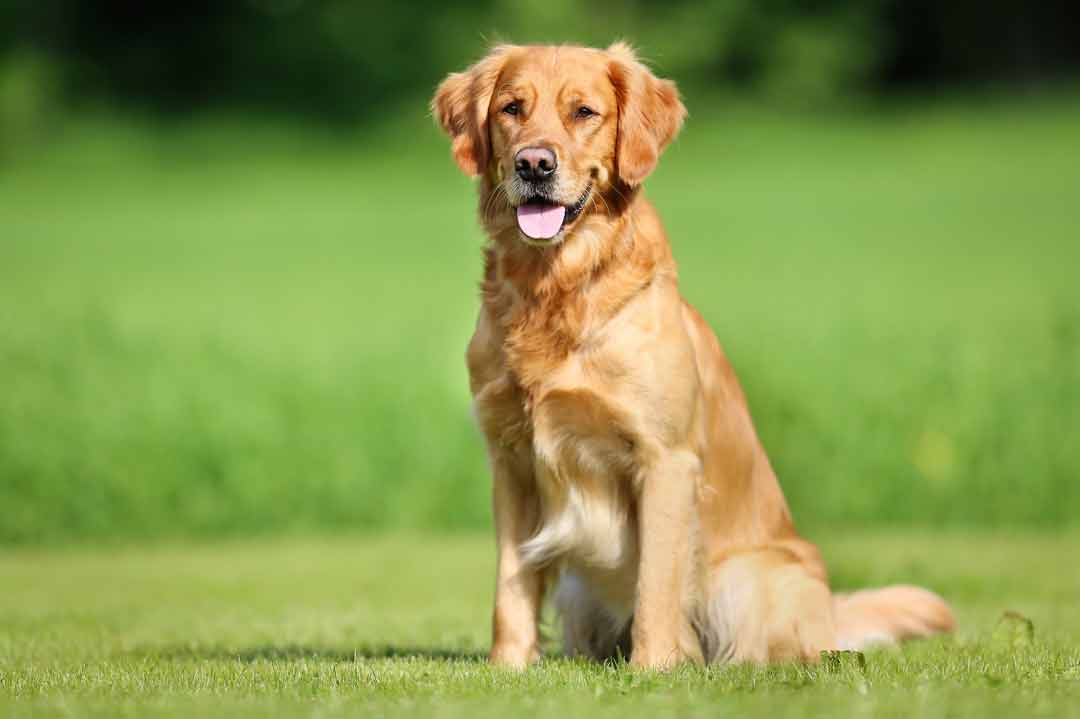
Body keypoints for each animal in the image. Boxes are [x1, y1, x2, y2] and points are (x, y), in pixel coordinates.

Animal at [429, 43, 954, 665]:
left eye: (584, 112)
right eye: (512, 108)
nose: (535, 164)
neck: (556, 288)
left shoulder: (665, 460)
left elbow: (657, 584)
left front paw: (653, 668)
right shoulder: (511, 461)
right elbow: (511, 588)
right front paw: (507, 668)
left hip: (751, 582)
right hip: (581, 592)